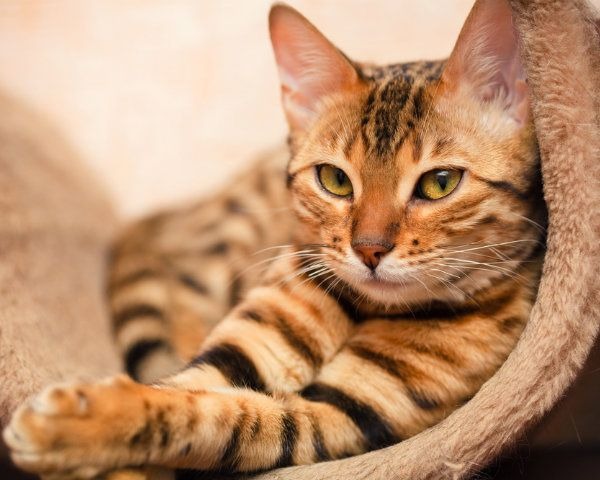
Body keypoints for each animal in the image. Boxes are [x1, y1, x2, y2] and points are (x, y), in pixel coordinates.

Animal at [4, 1, 546, 478]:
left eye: (439, 183)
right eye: (335, 179)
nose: (369, 250)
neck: (365, 310)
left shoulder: (342, 413)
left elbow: (221, 416)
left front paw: (74, 427)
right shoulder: (243, 349)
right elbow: (178, 390)